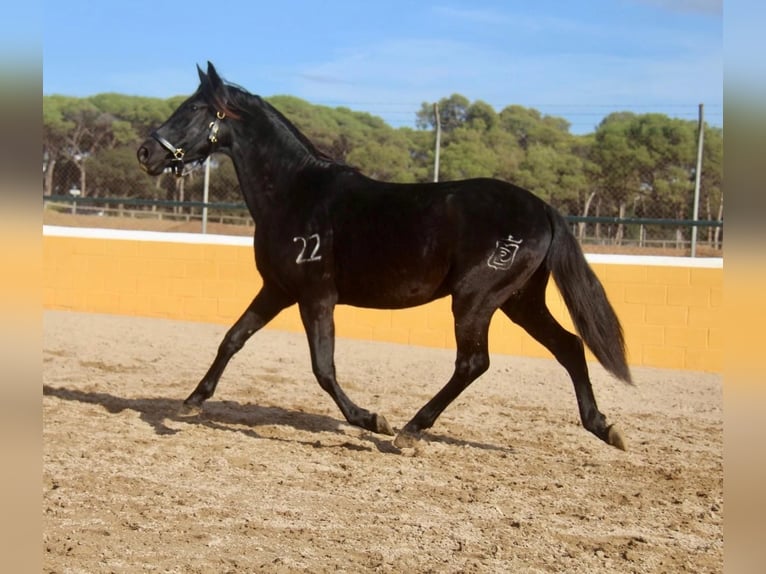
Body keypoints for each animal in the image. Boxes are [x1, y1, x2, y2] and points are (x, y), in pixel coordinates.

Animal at [137, 62, 632, 451]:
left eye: (194, 109)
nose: (145, 152)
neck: (297, 193)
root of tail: (543, 208)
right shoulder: (277, 289)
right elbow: (232, 339)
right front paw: (191, 402)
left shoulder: (316, 297)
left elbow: (323, 368)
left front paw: (372, 420)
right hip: (519, 300)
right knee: (569, 346)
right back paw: (604, 427)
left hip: (476, 299)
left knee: (474, 363)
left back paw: (410, 431)